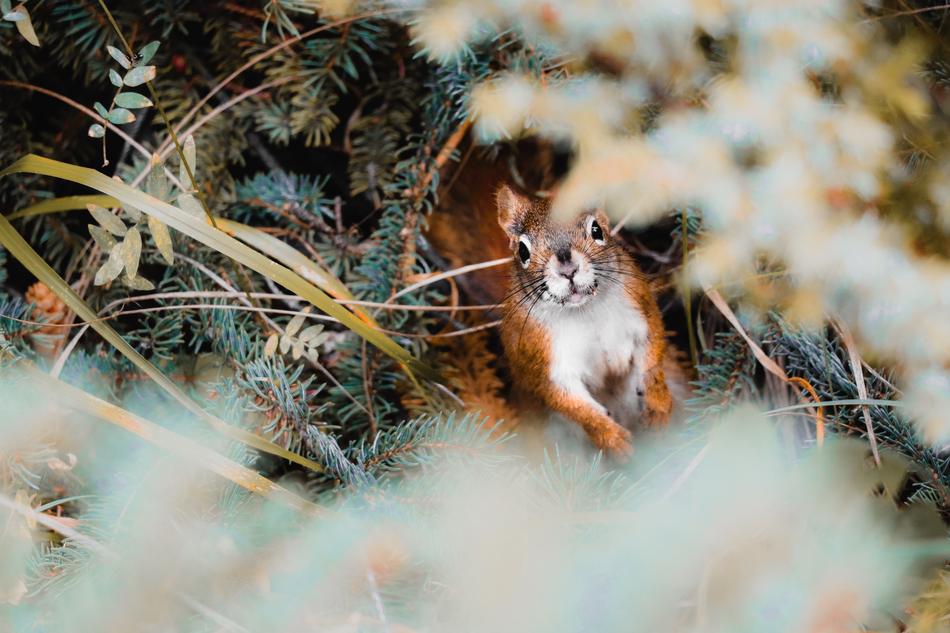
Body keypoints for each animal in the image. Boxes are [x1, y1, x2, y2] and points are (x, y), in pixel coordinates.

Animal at [427, 145, 675, 455]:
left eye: (597, 230)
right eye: (522, 250)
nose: (567, 268)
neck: (585, 312)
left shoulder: (640, 308)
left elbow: (653, 356)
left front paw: (658, 403)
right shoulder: (542, 358)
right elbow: (570, 402)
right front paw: (611, 436)